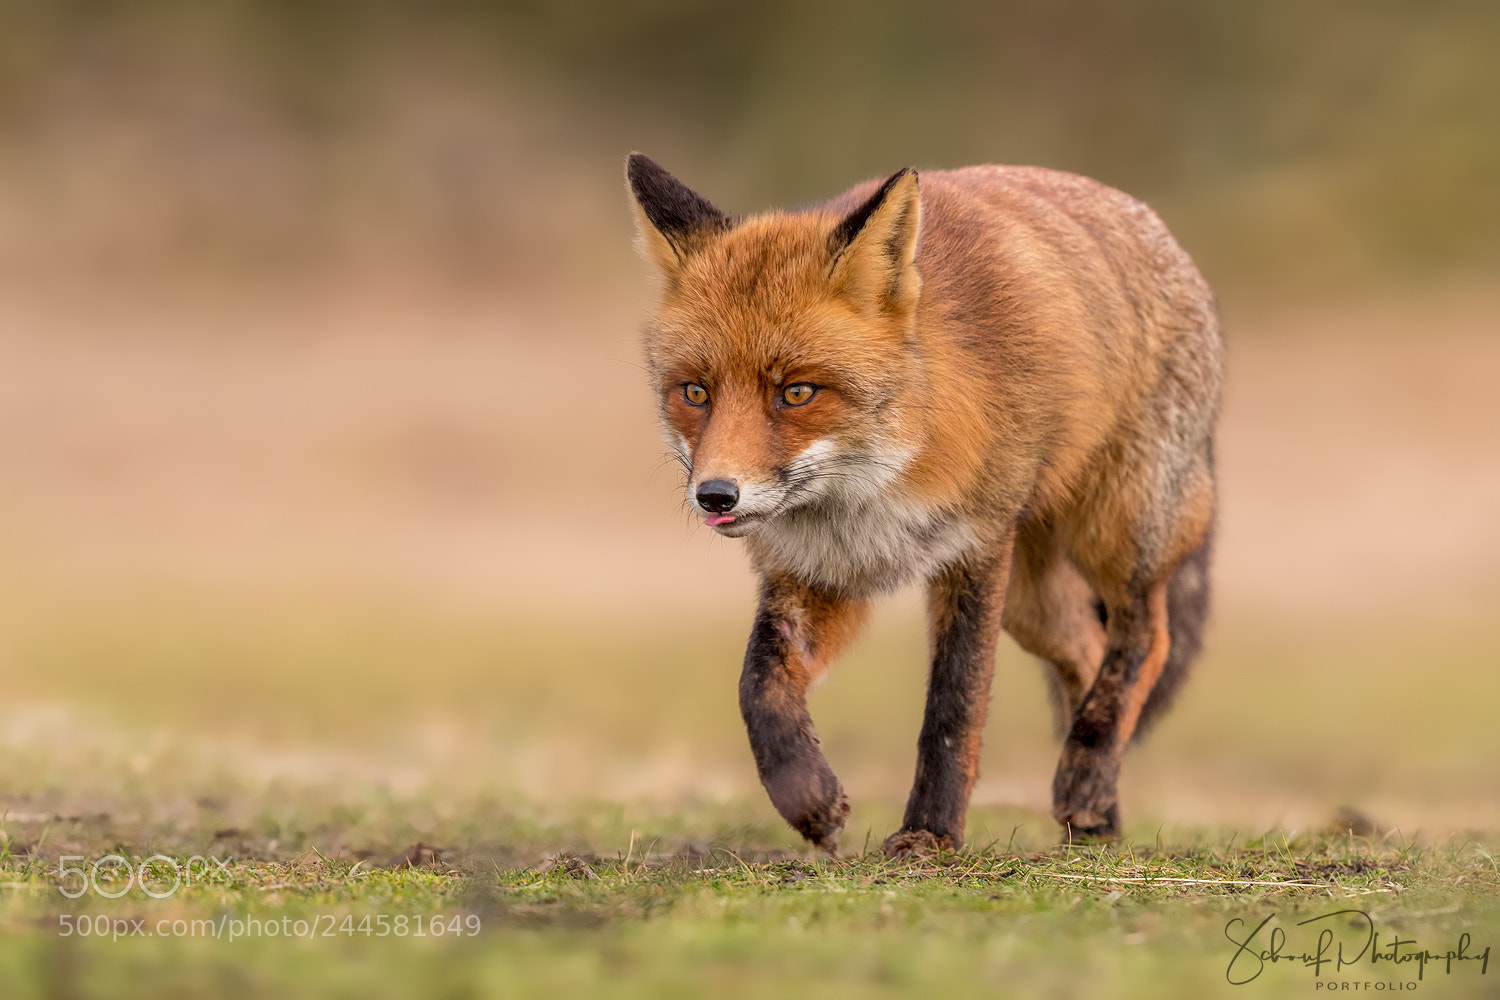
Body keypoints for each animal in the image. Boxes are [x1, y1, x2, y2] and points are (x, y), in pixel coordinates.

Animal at [626, 152, 1223, 857]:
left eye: (797, 391)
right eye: (695, 392)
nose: (715, 494)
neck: (866, 500)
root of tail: (1146, 218)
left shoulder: (976, 549)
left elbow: (954, 705)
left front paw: (930, 835)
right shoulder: (815, 575)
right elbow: (758, 686)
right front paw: (810, 801)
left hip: (1118, 531)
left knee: (1145, 640)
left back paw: (1088, 772)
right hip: (1033, 604)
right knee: (1086, 650)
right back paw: (1097, 809)